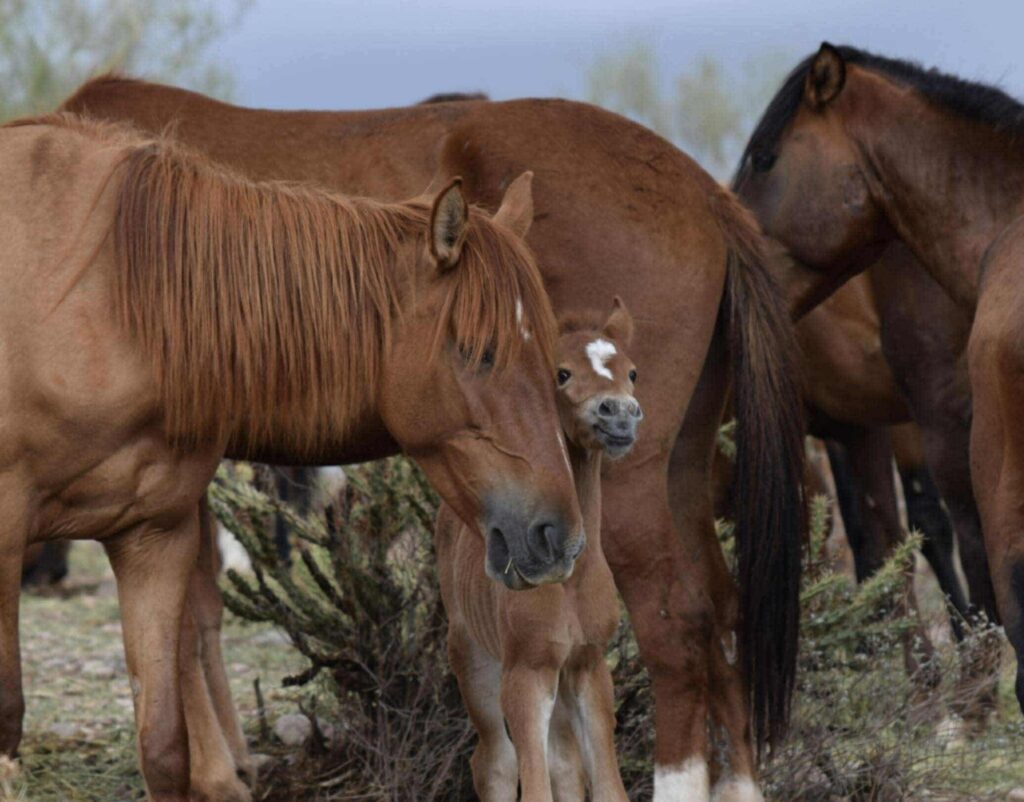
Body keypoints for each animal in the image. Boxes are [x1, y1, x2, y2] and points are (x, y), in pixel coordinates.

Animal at [0, 114, 584, 802]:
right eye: (477, 351)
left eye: (551, 363)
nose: (558, 537)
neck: (105, 302)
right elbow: (8, 716)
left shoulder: (154, 536)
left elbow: (164, 744)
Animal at [438, 298, 640, 802]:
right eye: (561, 373)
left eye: (631, 372)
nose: (620, 415)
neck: (571, 576)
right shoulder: (526, 671)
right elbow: (531, 783)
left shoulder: (588, 663)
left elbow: (605, 785)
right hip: (471, 656)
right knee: (493, 760)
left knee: (564, 762)